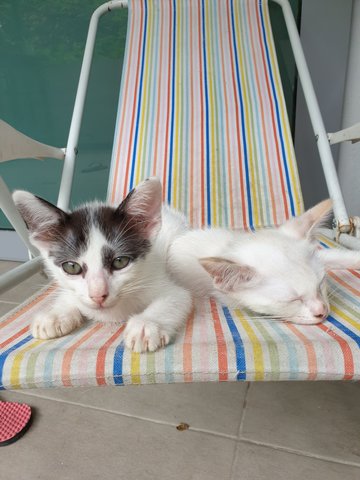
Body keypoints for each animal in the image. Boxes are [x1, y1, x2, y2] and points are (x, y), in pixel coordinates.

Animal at [13, 178, 193, 350]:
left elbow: (175, 298)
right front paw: (55, 314)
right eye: (72, 267)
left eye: (120, 262)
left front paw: (146, 325)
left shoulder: (164, 283)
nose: (98, 295)